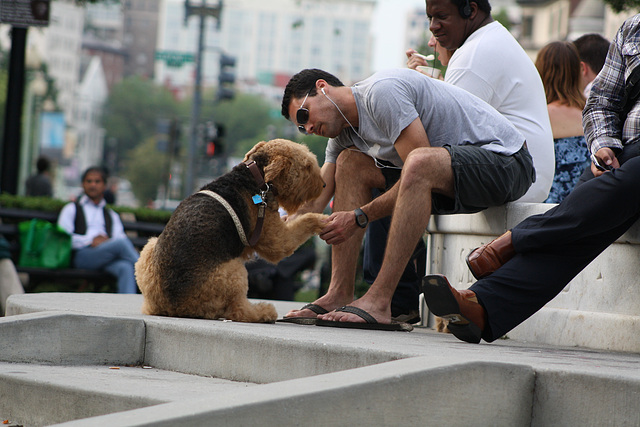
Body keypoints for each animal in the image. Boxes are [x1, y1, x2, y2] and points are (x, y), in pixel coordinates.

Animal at [134, 139, 324, 322]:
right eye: (307, 166)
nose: (324, 184)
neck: (254, 176)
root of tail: (173, 306)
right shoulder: (275, 240)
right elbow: (306, 221)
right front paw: (324, 220)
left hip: (149, 249)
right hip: (234, 271)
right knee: (238, 310)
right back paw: (265, 311)